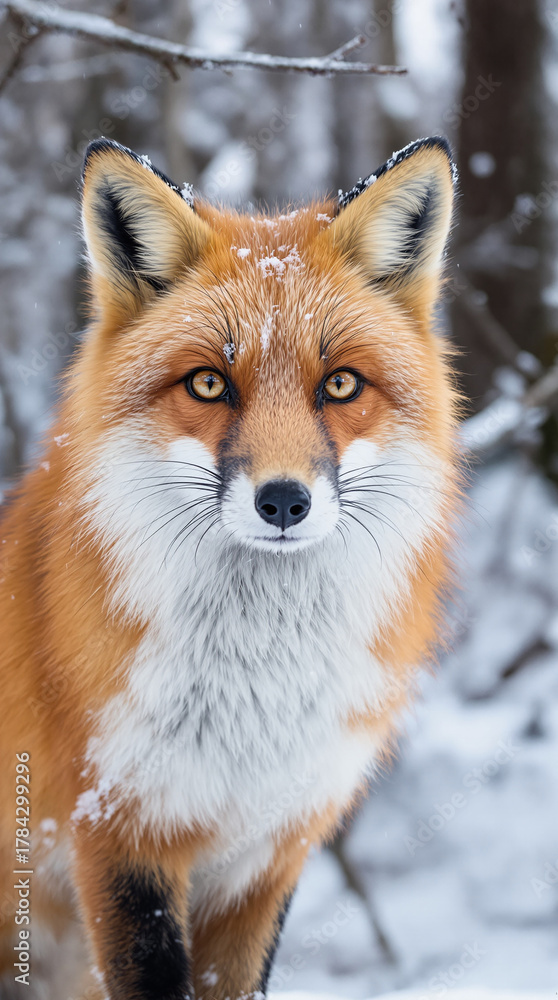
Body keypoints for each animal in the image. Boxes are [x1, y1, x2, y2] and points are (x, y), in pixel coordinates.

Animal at [0, 134, 460, 1000]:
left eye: (340, 383)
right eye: (209, 383)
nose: (283, 501)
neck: (254, 700)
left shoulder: (268, 855)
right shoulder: (121, 837)